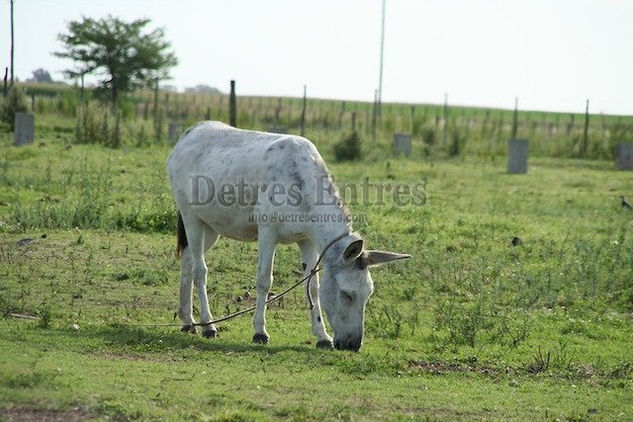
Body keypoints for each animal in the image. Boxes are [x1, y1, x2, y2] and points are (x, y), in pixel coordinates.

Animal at [165, 122, 408, 352]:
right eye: (348, 294)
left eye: (369, 294)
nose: (353, 345)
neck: (303, 190)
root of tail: (184, 138)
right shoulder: (267, 230)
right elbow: (264, 280)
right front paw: (260, 332)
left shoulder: (307, 240)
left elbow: (313, 287)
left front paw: (322, 337)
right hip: (191, 216)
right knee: (200, 270)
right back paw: (208, 326)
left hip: (212, 226)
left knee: (187, 260)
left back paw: (188, 321)